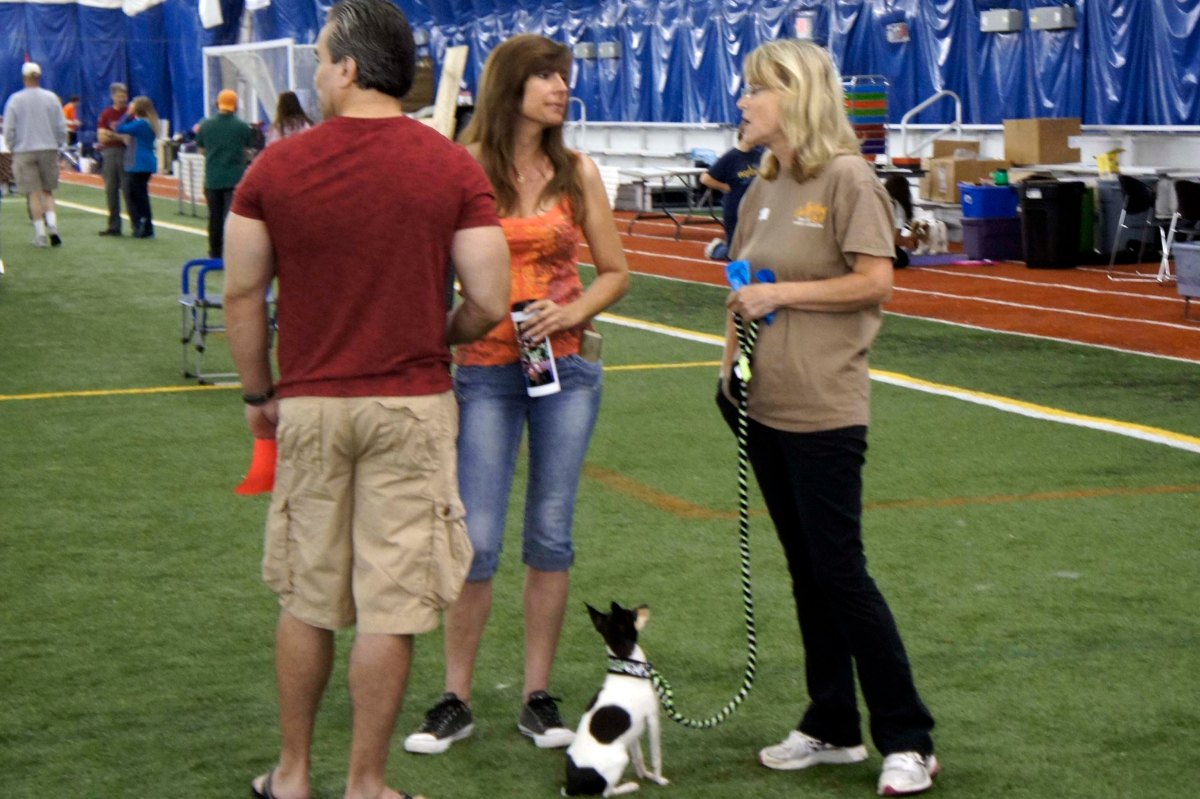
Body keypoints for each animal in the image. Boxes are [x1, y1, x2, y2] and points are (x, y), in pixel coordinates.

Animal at [563, 602, 669, 796]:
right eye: (633, 614)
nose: (645, 605)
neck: (627, 669)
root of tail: (571, 786)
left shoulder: (634, 730)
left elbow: (639, 757)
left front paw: (646, 775)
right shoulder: (652, 720)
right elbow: (656, 756)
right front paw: (659, 780)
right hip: (620, 758)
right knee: (607, 792)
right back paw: (629, 786)